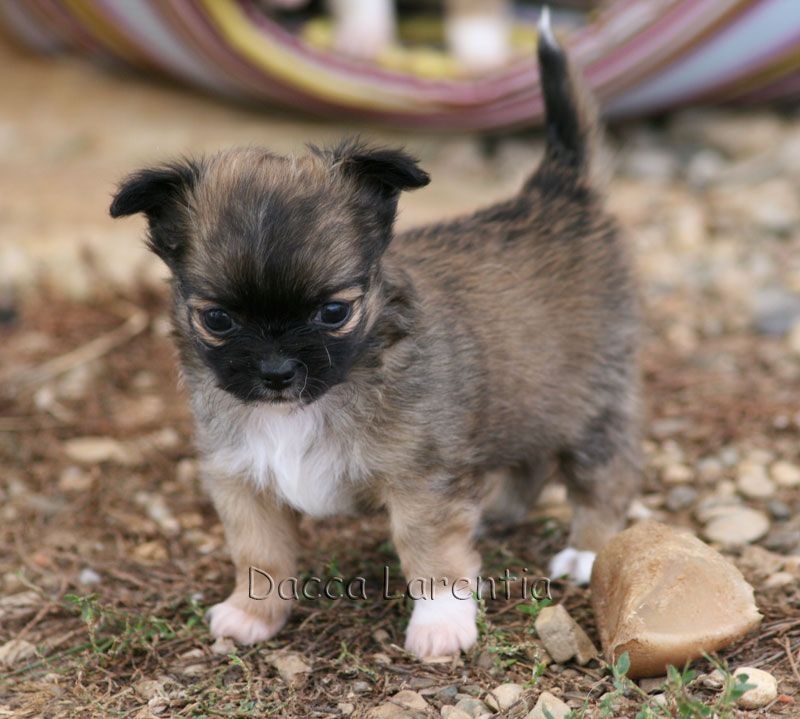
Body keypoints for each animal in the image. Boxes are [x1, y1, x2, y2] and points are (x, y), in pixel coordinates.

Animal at [111, 14, 636, 660]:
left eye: (334, 312)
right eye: (218, 321)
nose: (276, 373)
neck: (315, 401)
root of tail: (557, 193)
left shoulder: (420, 484)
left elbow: (430, 556)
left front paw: (441, 624)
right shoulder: (242, 481)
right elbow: (260, 555)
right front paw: (253, 614)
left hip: (592, 406)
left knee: (604, 478)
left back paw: (586, 549)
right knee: (529, 462)